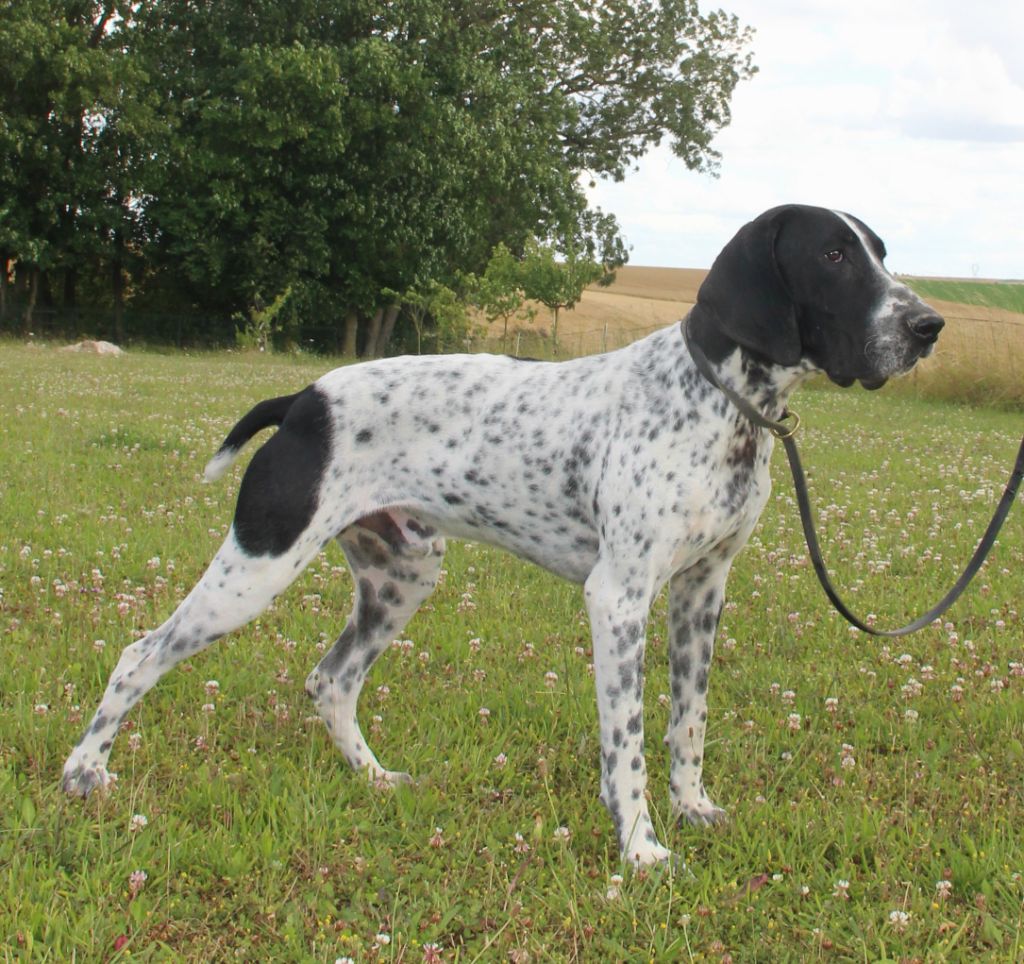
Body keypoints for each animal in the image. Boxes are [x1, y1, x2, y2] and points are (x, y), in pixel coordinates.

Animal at [61, 202, 942, 864]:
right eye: (833, 255)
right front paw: (640, 848)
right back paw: (83, 774)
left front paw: (693, 810)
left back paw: (376, 780)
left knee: (330, 681)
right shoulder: (619, 598)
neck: (718, 404)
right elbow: (625, 742)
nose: (929, 325)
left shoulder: (702, 591)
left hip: (401, 578)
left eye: (880, 252)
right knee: (138, 655)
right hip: (258, 567)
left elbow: (685, 723)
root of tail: (304, 400)